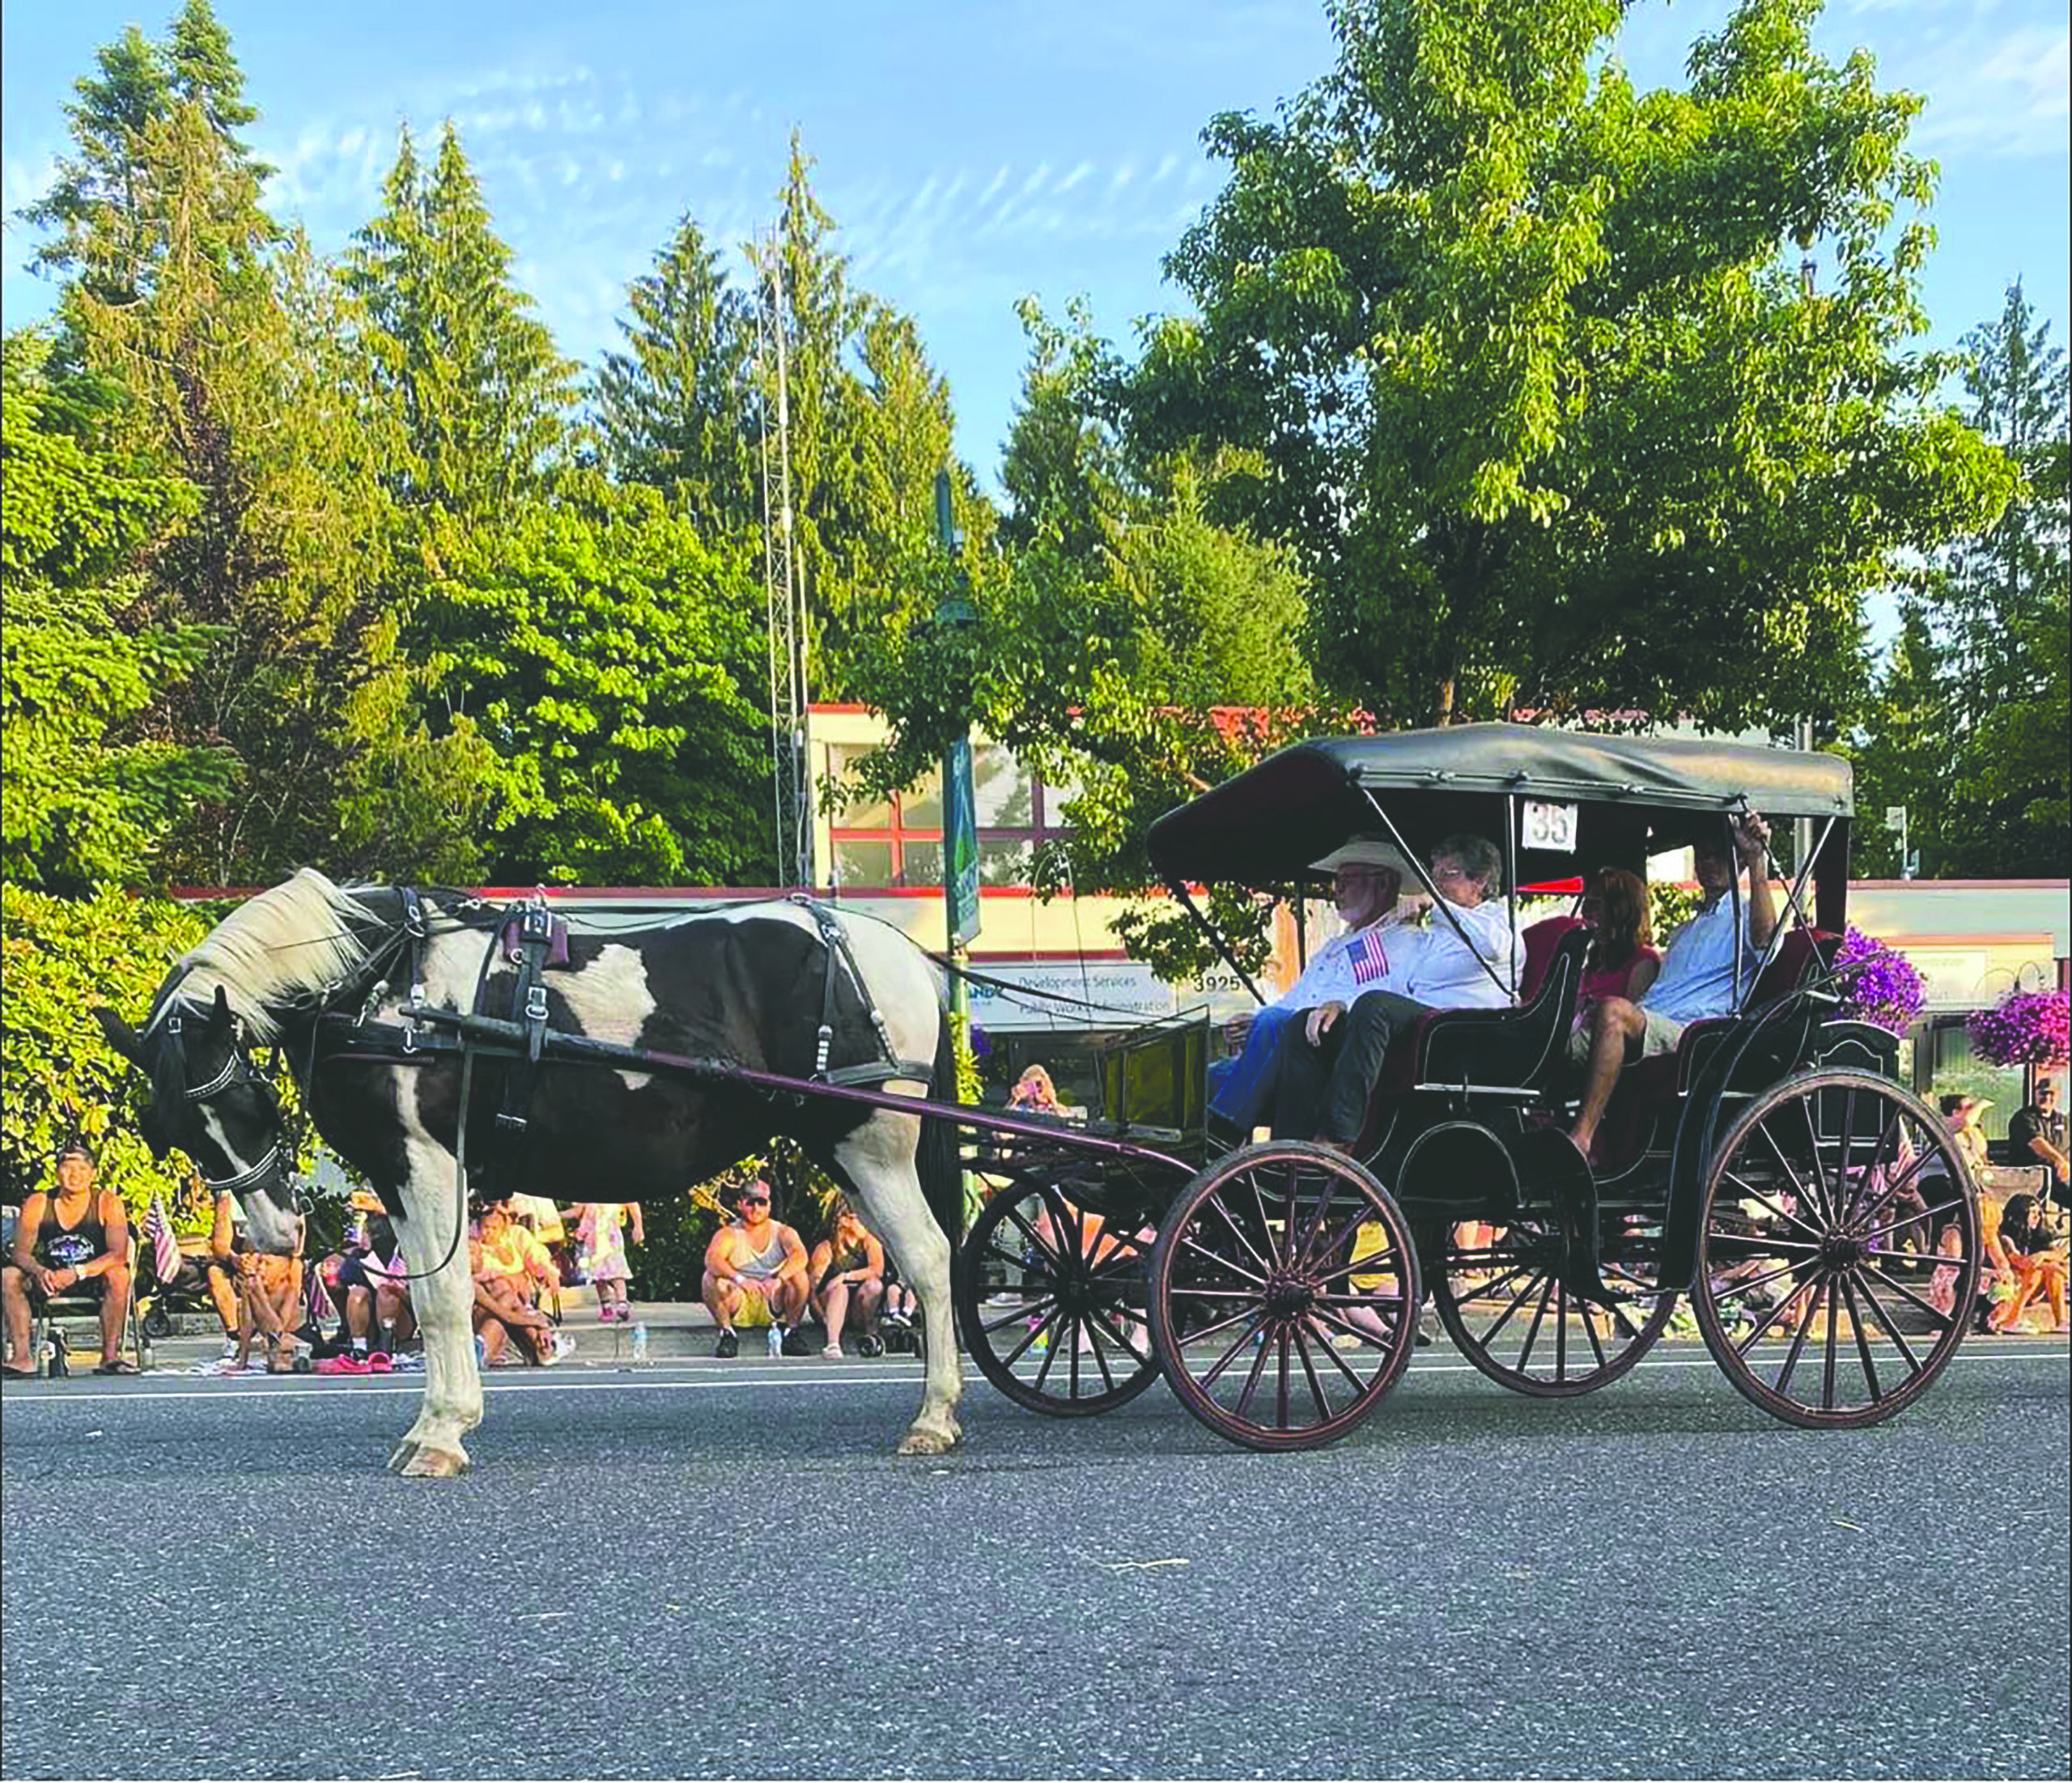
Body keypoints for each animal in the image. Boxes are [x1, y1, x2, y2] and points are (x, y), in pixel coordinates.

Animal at [93, 869, 965, 1466]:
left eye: (246, 1101)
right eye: (172, 1127)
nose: (274, 1232)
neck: (384, 984)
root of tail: (907, 956)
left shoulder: (429, 1161)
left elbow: (445, 1299)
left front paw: (444, 1432)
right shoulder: (396, 1171)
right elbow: (430, 1298)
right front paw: (434, 1421)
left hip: (870, 1144)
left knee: (928, 1260)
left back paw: (934, 1413)